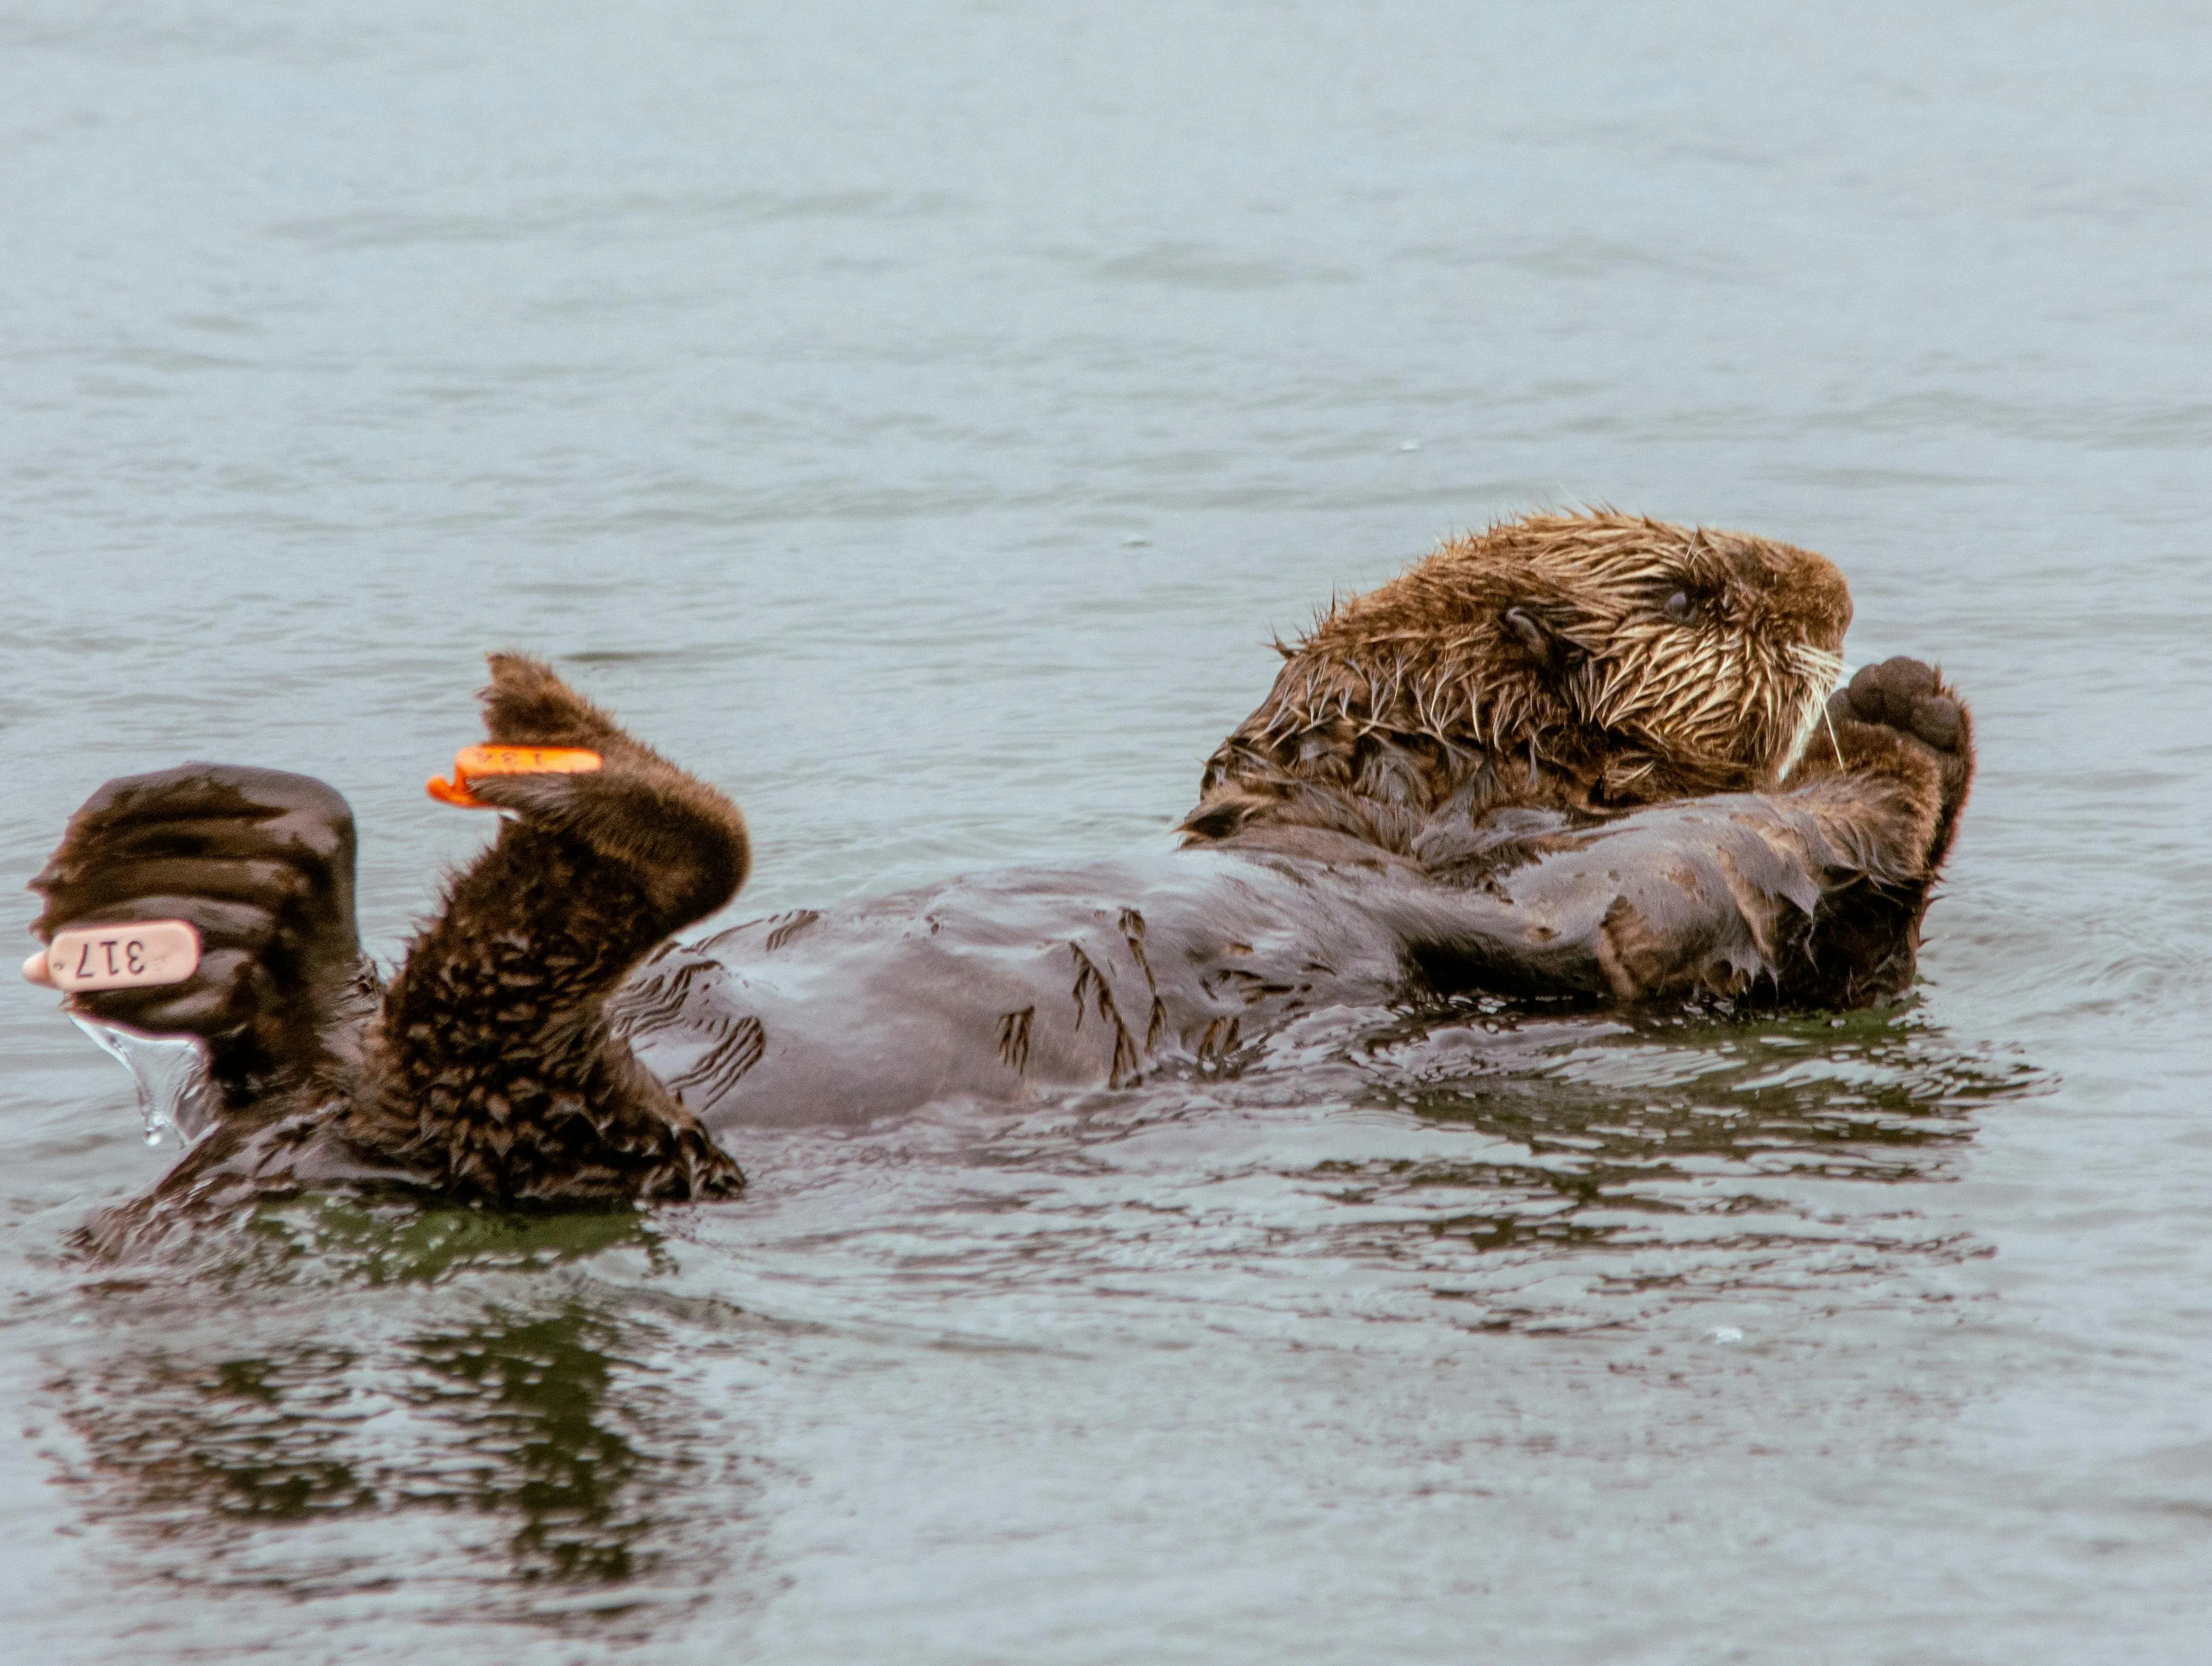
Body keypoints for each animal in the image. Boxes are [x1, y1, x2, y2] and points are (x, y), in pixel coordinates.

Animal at [27, 511, 1972, 1238]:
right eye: (1700, 592)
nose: (1826, 586)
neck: (1381, 801)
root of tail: (318, 1131)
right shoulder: (1524, 881)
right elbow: (1666, 888)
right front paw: (1898, 707)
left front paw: (1906, 703)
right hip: (584, 1122)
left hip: (573, 1125)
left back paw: (225, 874)